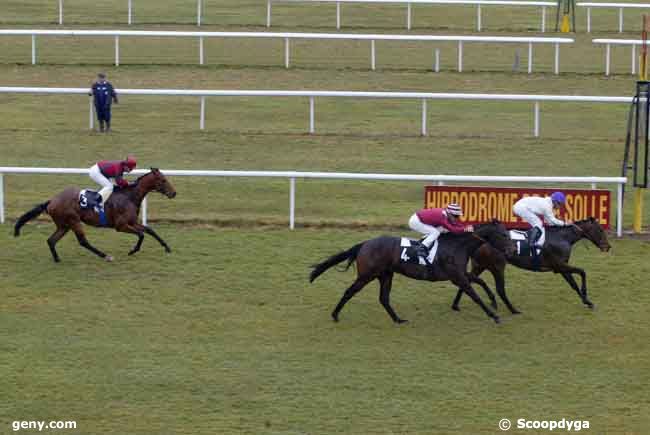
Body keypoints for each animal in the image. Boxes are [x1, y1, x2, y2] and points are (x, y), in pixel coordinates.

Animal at [14, 167, 176, 262]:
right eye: (163, 180)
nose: (174, 193)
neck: (129, 196)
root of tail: (51, 201)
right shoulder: (121, 226)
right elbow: (141, 235)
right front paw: (133, 250)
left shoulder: (132, 222)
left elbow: (149, 230)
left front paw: (167, 247)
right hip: (74, 221)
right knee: (82, 241)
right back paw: (105, 256)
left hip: (64, 225)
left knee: (51, 240)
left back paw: (57, 259)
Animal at [306, 223, 512, 326]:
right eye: (503, 235)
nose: (511, 250)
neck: (457, 245)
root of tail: (365, 244)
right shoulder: (457, 277)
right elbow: (475, 295)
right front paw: (494, 315)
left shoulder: (459, 274)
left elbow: (481, 282)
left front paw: (494, 301)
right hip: (367, 275)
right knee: (350, 292)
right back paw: (335, 315)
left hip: (386, 274)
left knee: (384, 298)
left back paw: (398, 319)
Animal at [450, 220, 608, 316]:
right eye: (600, 230)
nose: (608, 246)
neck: (562, 237)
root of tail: (481, 240)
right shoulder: (560, 265)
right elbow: (582, 272)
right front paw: (587, 297)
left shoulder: (560, 268)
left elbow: (573, 284)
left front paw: (587, 301)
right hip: (497, 266)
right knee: (499, 290)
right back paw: (513, 310)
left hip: (480, 265)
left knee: (466, 281)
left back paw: (455, 305)